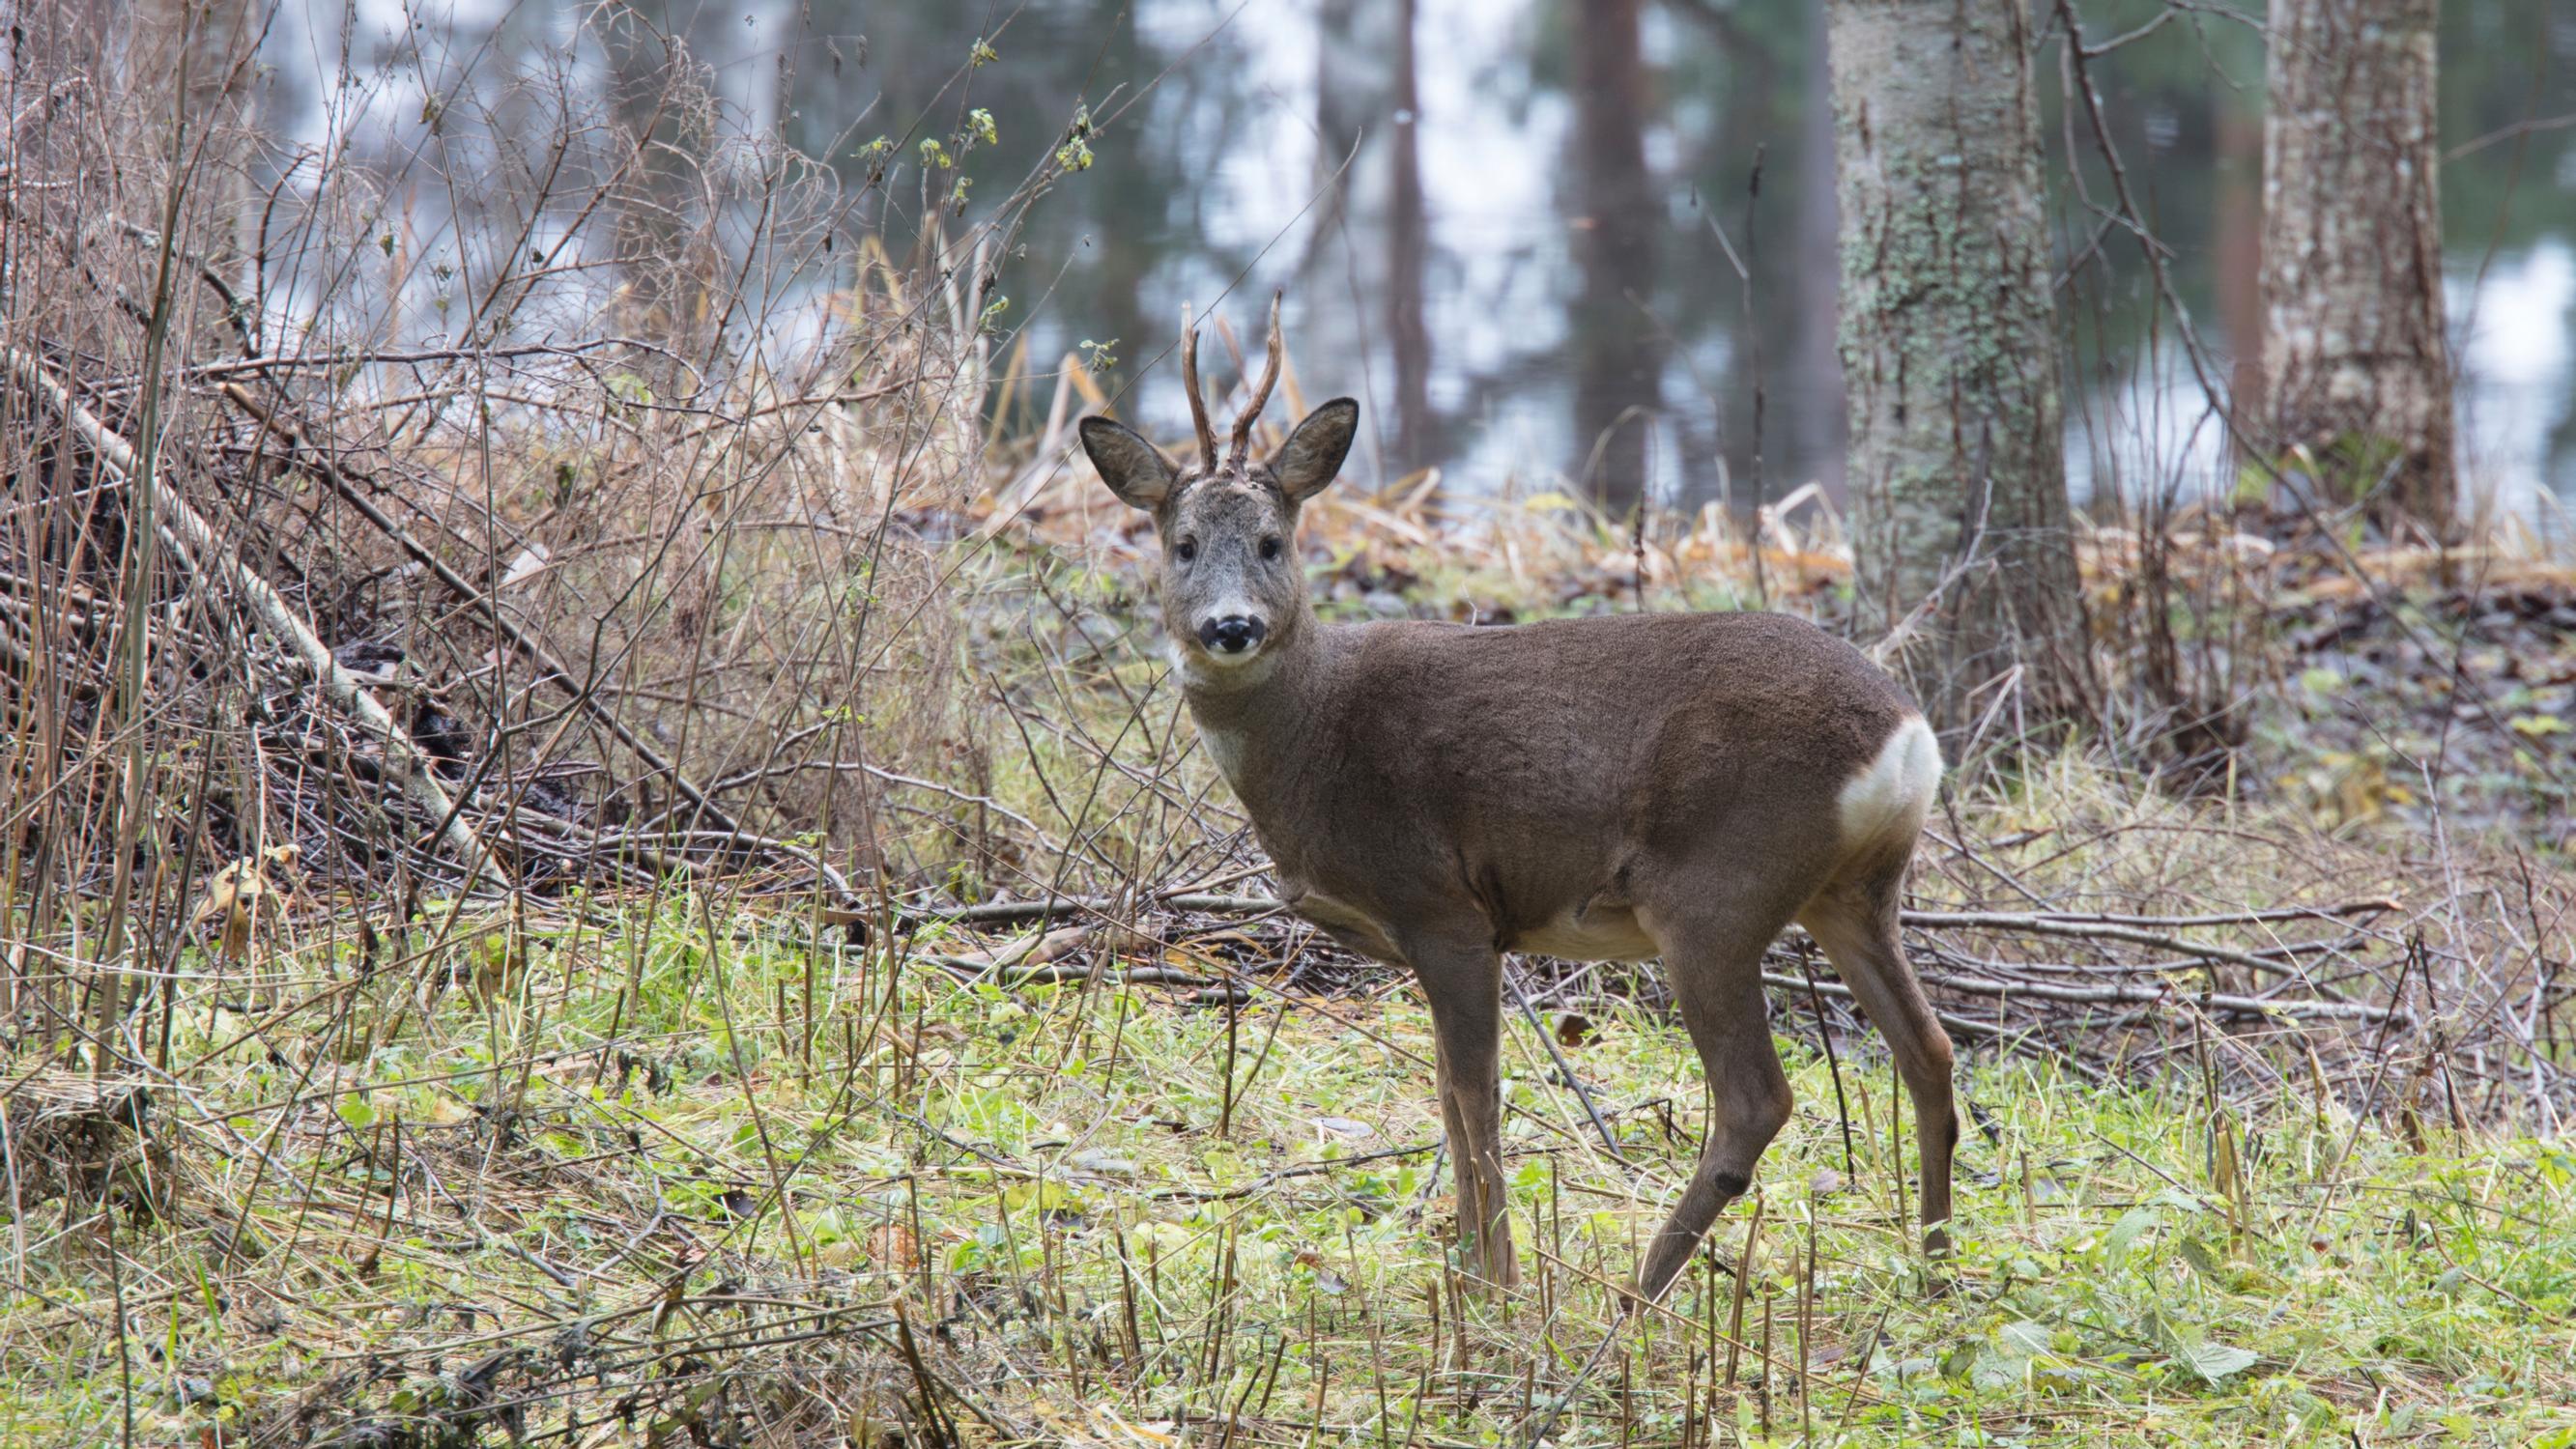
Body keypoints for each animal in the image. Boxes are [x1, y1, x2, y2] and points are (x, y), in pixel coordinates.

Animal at [1081, 300, 1947, 1296]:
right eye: (1181, 545)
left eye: (1272, 542)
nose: (1231, 625)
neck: (1313, 735)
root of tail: (1906, 738)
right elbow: (1448, 1095)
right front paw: (1465, 1264)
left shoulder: (1441, 905)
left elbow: (1475, 1094)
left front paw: (1495, 1280)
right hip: (1852, 890)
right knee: (1928, 1052)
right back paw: (1936, 1269)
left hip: (1718, 889)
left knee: (1756, 1100)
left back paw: (1637, 1298)